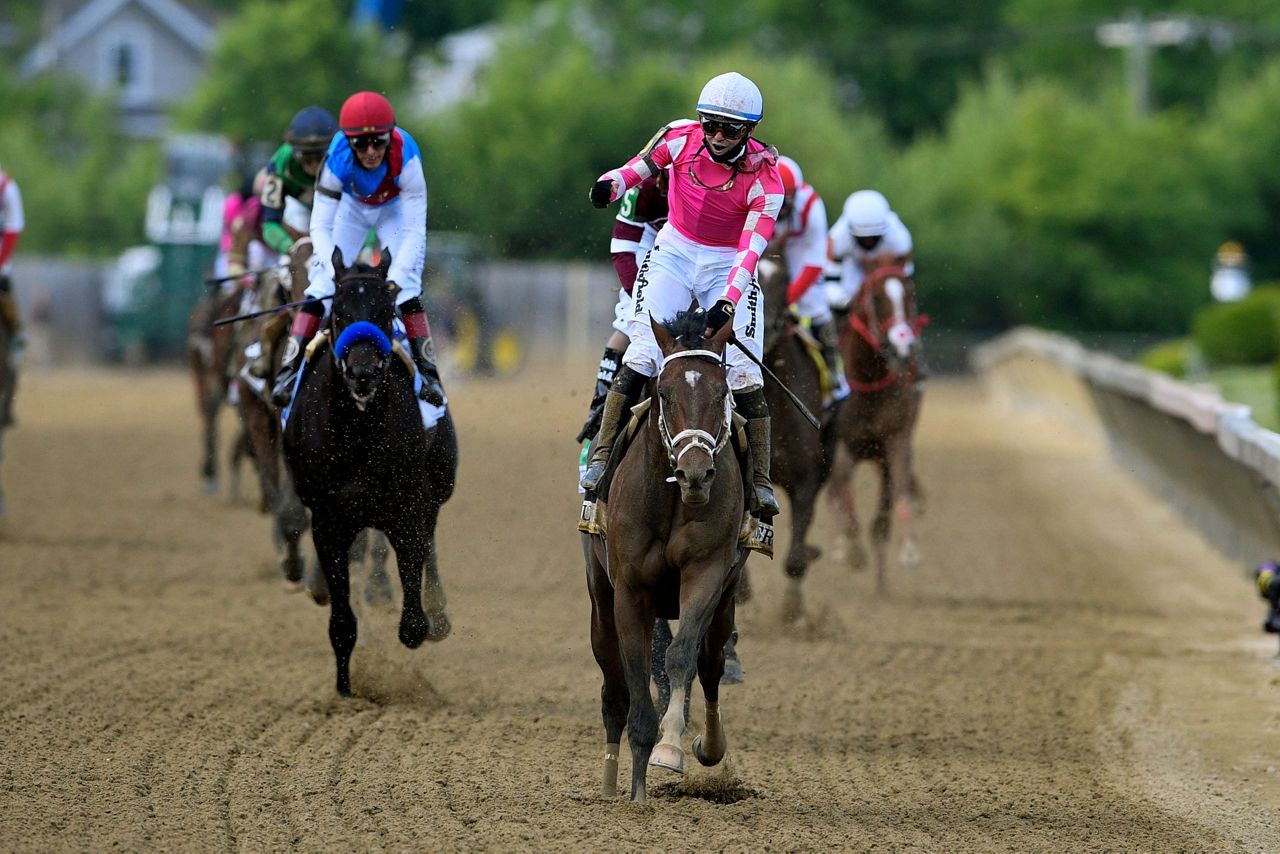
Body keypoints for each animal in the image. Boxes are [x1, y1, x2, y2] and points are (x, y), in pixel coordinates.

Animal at [282, 248, 458, 701]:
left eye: (384, 310)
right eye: (339, 311)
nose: (362, 374)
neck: (358, 432)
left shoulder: (406, 508)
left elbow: (412, 617)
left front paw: (422, 622)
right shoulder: (329, 520)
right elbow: (342, 621)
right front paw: (346, 691)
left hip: (438, 486)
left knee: (430, 541)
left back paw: (438, 610)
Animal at [586, 307, 747, 804]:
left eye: (722, 392)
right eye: (663, 392)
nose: (695, 473)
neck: (674, 499)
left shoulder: (707, 574)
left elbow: (679, 657)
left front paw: (670, 747)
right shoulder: (629, 589)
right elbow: (638, 673)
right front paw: (636, 791)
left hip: (725, 603)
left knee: (711, 666)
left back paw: (708, 746)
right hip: (600, 601)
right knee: (613, 690)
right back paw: (609, 783)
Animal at [824, 267, 926, 594]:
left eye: (909, 295)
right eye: (877, 298)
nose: (902, 346)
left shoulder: (895, 439)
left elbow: (899, 488)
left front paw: (909, 549)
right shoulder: (843, 442)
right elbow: (842, 486)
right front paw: (850, 548)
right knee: (837, 490)